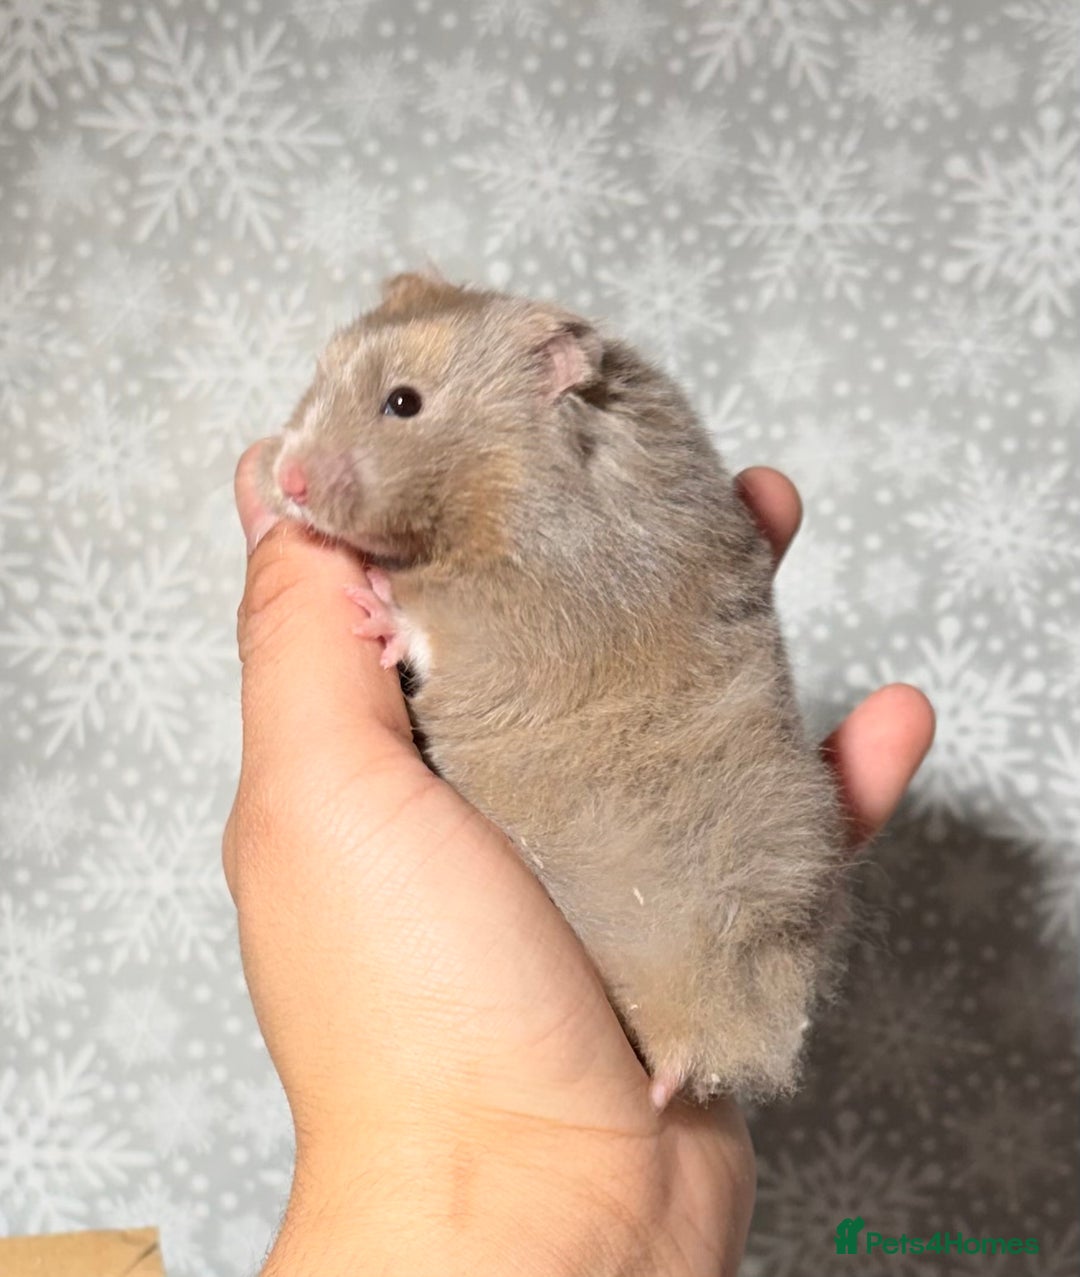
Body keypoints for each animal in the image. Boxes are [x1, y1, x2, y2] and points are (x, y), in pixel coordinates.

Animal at [257, 271, 848, 1106]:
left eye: (403, 401)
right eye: (318, 375)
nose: (285, 478)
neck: (509, 480)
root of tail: (721, 1040)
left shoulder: (537, 614)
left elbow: (446, 625)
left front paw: (377, 605)